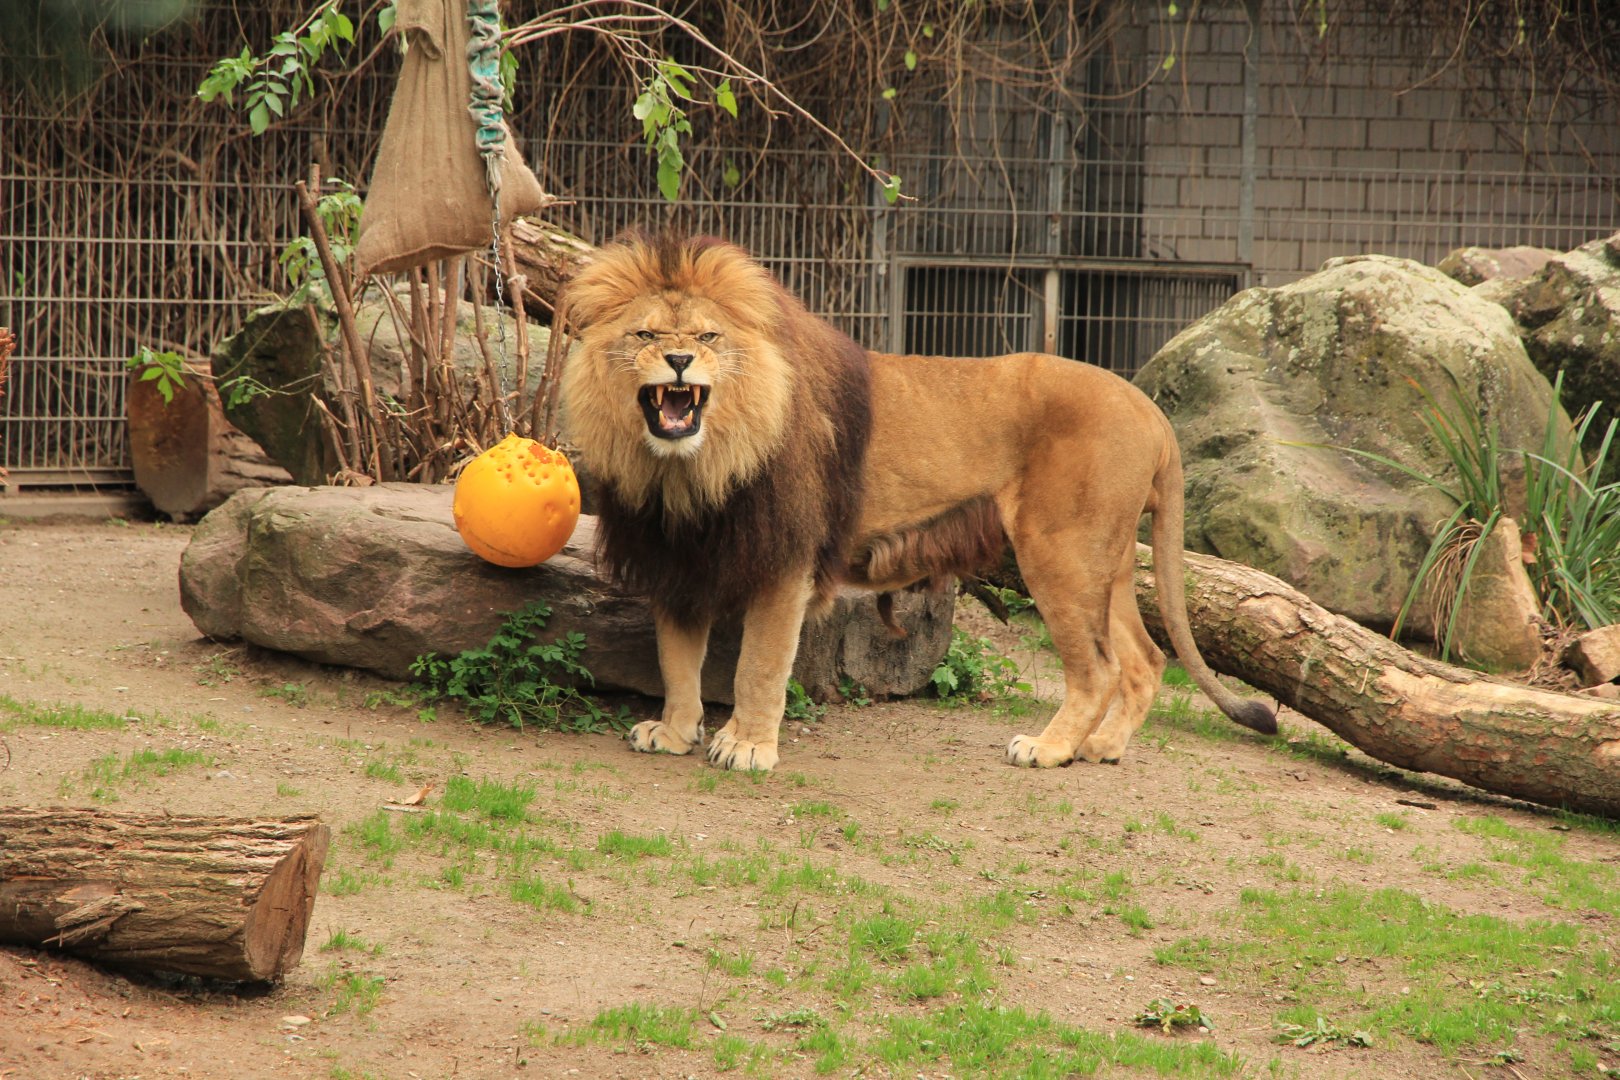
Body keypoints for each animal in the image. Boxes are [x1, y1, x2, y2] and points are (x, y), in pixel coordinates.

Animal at [559, 231, 1276, 773]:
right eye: (645, 334)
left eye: (709, 338)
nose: (679, 361)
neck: (688, 468)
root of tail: (1150, 409)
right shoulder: (675, 555)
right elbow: (676, 658)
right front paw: (674, 731)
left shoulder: (785, 557)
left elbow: (758, 663)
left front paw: (747, 745)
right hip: (1110, 559)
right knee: (1144, 659)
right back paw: (1100, 747)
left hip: (1060, 551)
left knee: (1097, 666)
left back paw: (1049, 748)